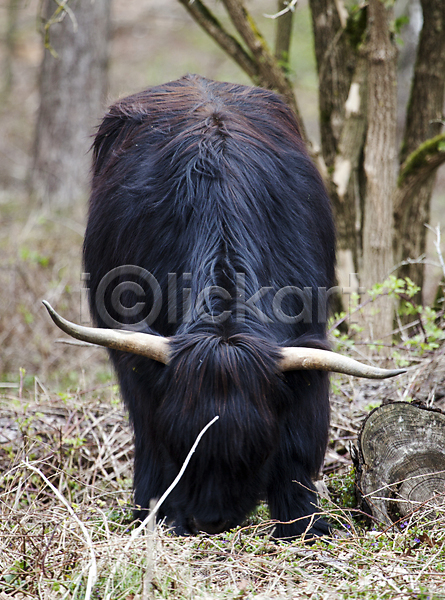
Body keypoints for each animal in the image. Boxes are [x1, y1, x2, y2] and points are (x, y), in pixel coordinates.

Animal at [44, 74, 402, 540]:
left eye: (255, 446)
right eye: (181, 441)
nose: (210, 520)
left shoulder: (309, 342)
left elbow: (300, 440)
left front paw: (303, 522)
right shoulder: (135, 353)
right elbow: (148, 429)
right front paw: (155, 512)